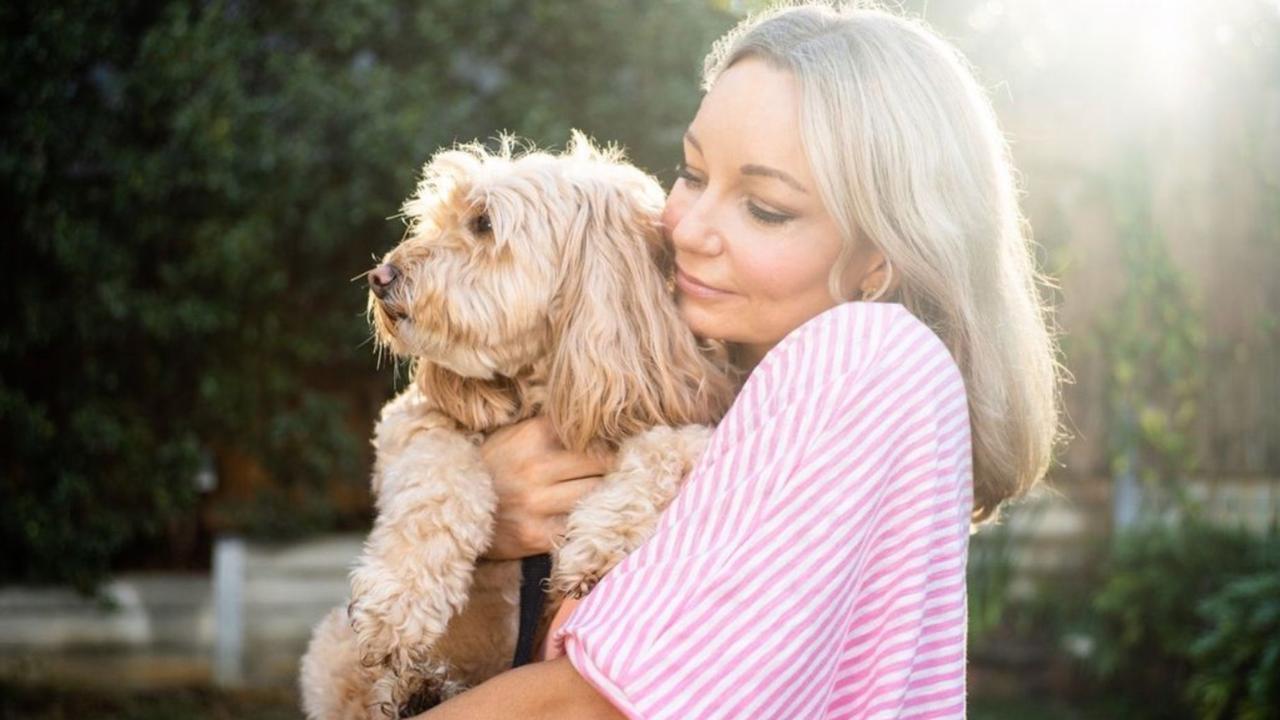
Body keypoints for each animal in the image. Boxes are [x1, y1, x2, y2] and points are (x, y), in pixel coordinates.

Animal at [299, 131, 737, 712]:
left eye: (483, 223)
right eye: (431, 218)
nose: (379, 276)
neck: (543, 387)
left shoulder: (691, 412)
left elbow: (668, 444)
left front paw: (599, 539)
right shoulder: (408, 422)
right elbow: (439, 482)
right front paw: (400, 601)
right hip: (329, 650)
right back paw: (416, 688)